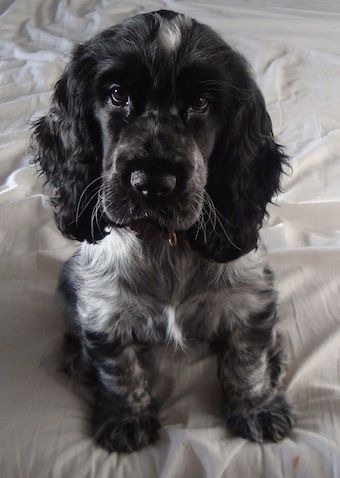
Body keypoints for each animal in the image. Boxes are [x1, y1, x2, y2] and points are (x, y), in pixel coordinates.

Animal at [30, 10, 294, 452]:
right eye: (117, 95)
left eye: (201, 103)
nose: (151, 182)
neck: (162, 242)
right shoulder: (103, 308)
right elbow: (119, 370)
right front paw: (127, 417)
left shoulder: (250, 297)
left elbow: (248, 359)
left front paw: (257, 408)